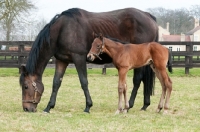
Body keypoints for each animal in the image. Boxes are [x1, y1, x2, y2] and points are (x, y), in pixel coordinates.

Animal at [19, 7, 159, 112]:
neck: (63, 30)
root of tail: (148, 16)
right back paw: (145, 105)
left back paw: (129, 105)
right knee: (143, 80)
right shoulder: (62, 61)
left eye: (25, 86)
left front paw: (88, 106)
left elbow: (84, 81)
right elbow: (56, 83)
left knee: (137, 80)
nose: (26, 108)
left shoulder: (79, 58)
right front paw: (49, 107)